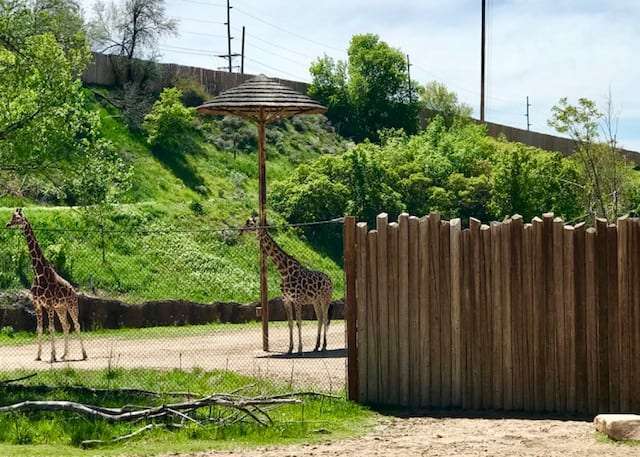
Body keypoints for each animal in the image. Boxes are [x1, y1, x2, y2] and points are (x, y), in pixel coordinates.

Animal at [5, 208, 87, 362]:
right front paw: (38, 356)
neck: (38, 273)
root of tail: (73, 290)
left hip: (71, 305)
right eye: (12, 217)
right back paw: (64, 355)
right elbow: (40, 328)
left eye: (18, 218)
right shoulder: (37, 304)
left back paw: (84, 354)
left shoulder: (48, 304)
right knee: (66, 325)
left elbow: (51, 328)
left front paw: (52, 356)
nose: (7, 224)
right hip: (61, 308)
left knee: (76, 324)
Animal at [240, 215, 336, 352]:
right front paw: (290, 348)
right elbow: (290, 323)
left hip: (325, 299)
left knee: (325, 319)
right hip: (315, 301)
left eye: (250, 224)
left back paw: (323, 346)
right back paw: (316, 346)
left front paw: (300, 349)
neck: (284, 272)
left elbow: (299, 322)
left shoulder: (297, 300)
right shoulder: (286, 300)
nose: (241, 231)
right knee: (320, 318)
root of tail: (329, 280)